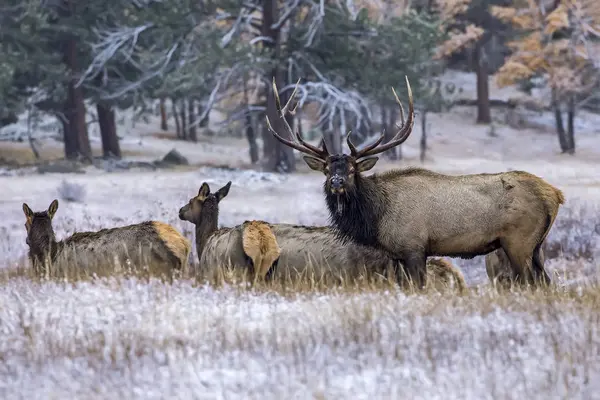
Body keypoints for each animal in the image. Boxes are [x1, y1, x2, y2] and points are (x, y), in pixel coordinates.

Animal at [268, 76, 568, 288]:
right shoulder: (397, 255)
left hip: (520, 241)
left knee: (531, 282)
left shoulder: (414, 247)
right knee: (545, 282)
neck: (377, 218)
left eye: (353, 169)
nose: (337, 182)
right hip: (537, 245)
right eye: (327, 169)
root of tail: (555, 194)